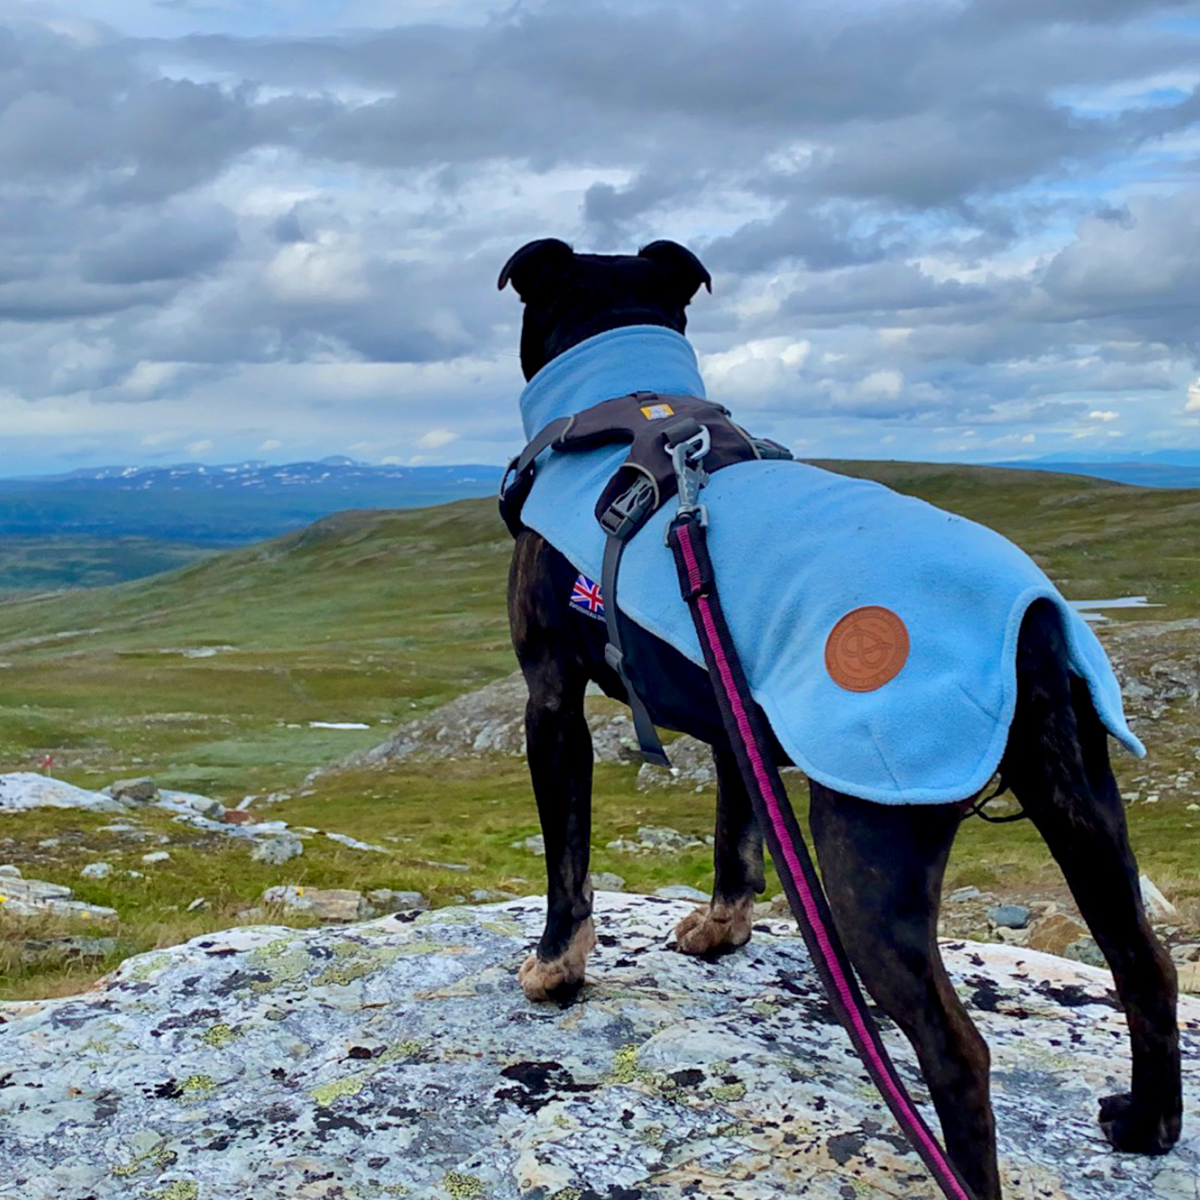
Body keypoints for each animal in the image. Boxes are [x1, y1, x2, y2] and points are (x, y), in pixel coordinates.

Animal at [499, 236, 1180, 1200]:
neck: (632, 405)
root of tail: (1027, 625)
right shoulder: (731, 710)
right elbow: (737, 833)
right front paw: (722, 929)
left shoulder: (551, 702)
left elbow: (568, 861)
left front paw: (557, 967)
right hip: (1083, 805)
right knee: (1143, 964)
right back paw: (1150, 1122)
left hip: (866, 850)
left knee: (958, 1053)